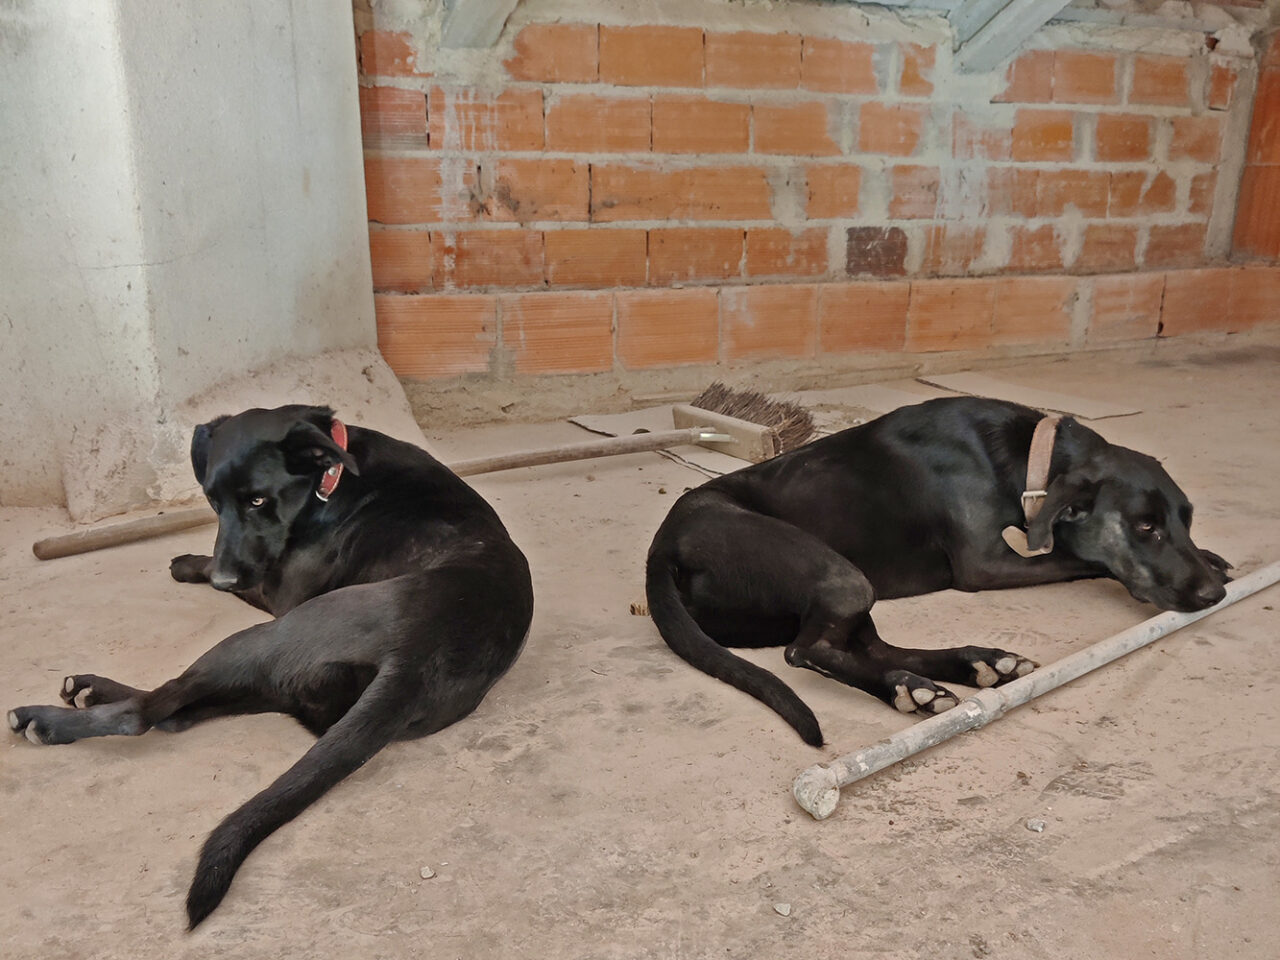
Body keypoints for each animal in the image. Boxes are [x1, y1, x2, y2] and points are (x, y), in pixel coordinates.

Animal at [8, 405, 534, 927]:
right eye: (212, 500)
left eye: (259, 500)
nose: (221, 579)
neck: (333, 472)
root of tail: (415, 661)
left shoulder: (281, 593)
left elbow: (245, 576)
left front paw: (191, 564)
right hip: (278, 676)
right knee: (176, 711)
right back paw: (91, 689)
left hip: (263, 637)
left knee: (150, 710)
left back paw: (49, 719)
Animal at [645, 396, 1230, 746]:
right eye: (1145, 527)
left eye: (1185, 520)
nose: (1213, 595)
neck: (1027, 455)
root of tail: (661, 548)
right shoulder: (986, 564)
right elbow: (1079, 559)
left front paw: (1213, 556)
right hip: (836, 572)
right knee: (806, 650)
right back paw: (910, 687)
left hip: (847, 587)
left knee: (868, 644)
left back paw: (971, 666)